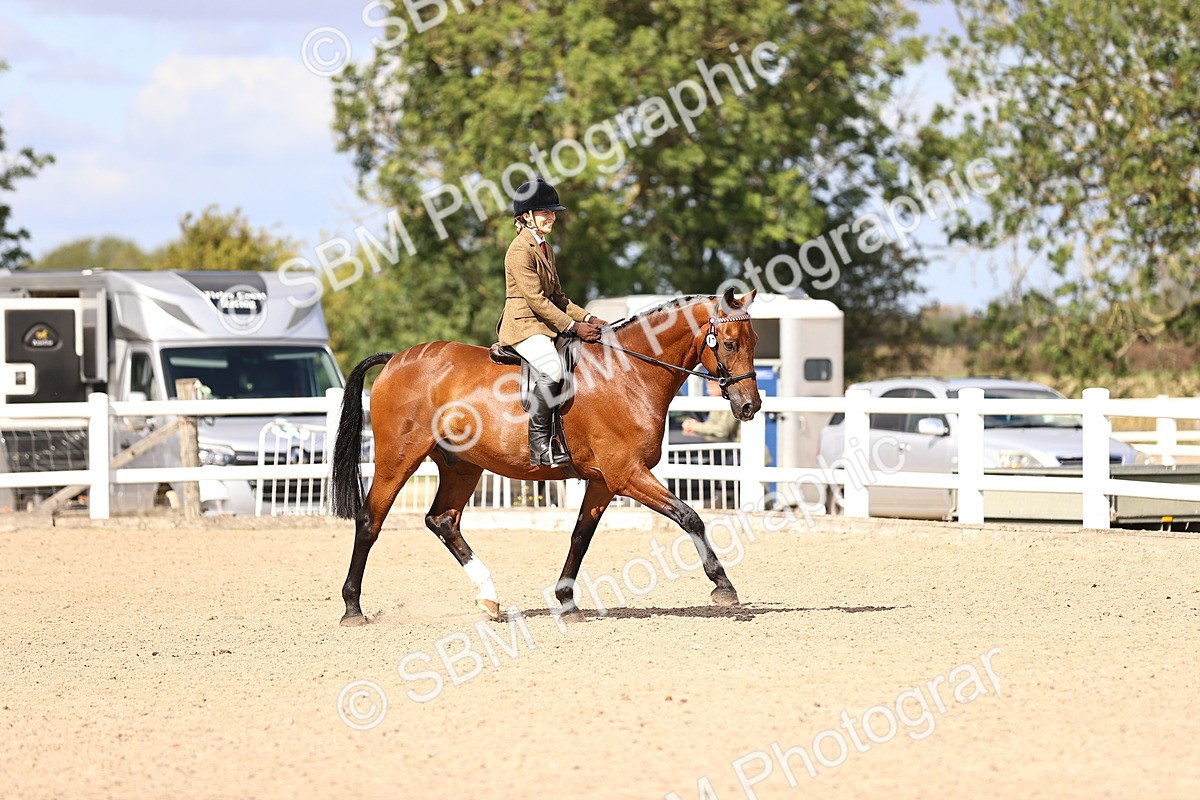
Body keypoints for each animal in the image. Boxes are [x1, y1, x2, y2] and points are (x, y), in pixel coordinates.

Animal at [329, 288, 762, 625]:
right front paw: (723, 585)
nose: (750, 406)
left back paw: (489, 598)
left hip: (462, 467)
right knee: (370, 521)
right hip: (397, 459)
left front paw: (567, 602)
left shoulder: (603, 481)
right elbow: (689, 516)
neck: (629, 373)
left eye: (755, 340)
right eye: (729, 343)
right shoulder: (626, 474)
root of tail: (397, 358)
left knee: (443, 521)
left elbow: (580, 537)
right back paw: (352, 608)